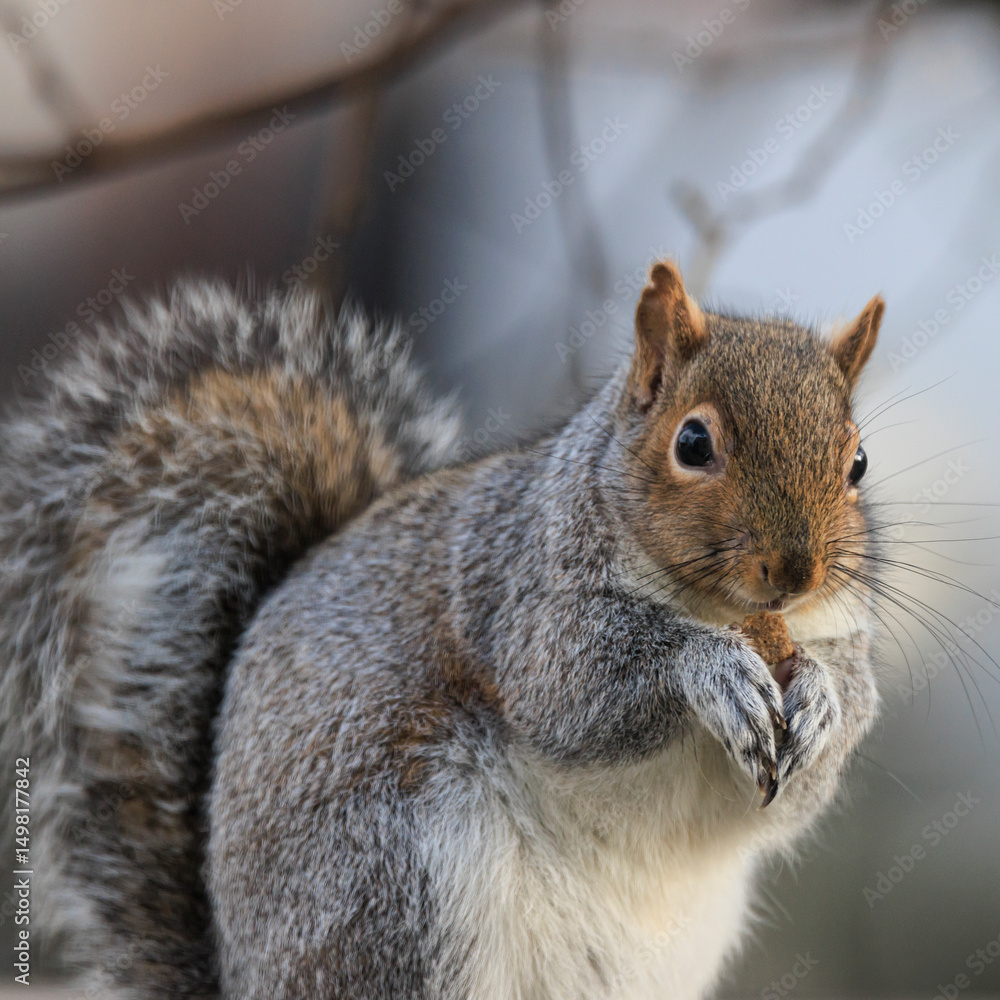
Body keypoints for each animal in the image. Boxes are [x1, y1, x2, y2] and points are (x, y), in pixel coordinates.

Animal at [0, 262, 885, 999]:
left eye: (859, 463)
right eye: (692, 442)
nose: (795, 569)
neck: (724, 610)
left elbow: (805, 781)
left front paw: (823, 701)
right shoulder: (521, 596)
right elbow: (575, 694)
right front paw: (712, 670)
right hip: (395, 881)